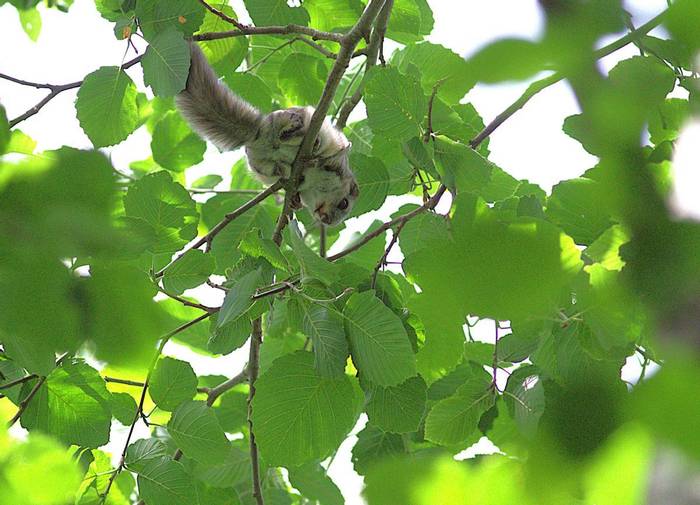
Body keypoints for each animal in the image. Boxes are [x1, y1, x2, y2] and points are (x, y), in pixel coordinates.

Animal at [175, 42, 360, 224]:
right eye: (344, 203)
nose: (326, 220)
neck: (314, 186)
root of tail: (261, 132)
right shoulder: (338, 157)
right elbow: (336, 154)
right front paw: (317, 160)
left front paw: (295, 201)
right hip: (299, 117)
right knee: (295, 131)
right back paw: (297, 136)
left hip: (259, 164)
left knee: (269, 168)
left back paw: (281, 166)